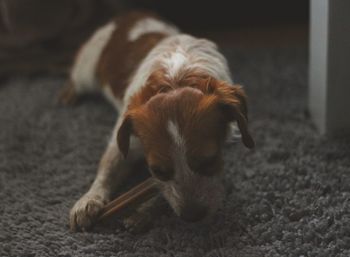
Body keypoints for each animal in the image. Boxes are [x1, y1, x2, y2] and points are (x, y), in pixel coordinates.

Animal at [61, 10, 254, 230]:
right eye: (158, 170)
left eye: (209, 160)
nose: (193, 216)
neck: (176, 80)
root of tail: (126, 15)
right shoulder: (126, 137)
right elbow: (108, 168)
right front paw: (89, 199)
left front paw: (143, 212)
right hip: (87, 72)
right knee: (75, 78)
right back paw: (68, 95)